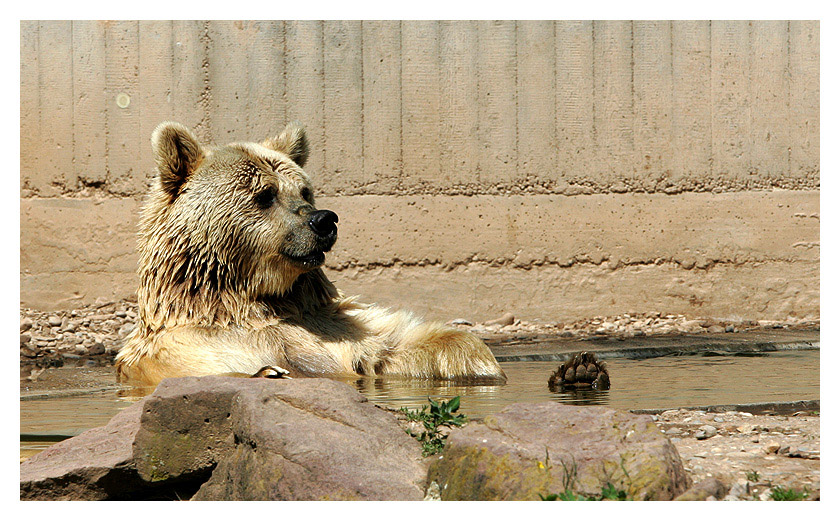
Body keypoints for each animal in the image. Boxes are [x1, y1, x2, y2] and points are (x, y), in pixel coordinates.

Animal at [113, 120, 506, 384]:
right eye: (265, 194)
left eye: (304, 191)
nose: (324, 220)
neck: (250, 299)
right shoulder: (187, 349)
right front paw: (271, 371)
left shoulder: (330, 324)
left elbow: (398, 345)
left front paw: (481, 363)